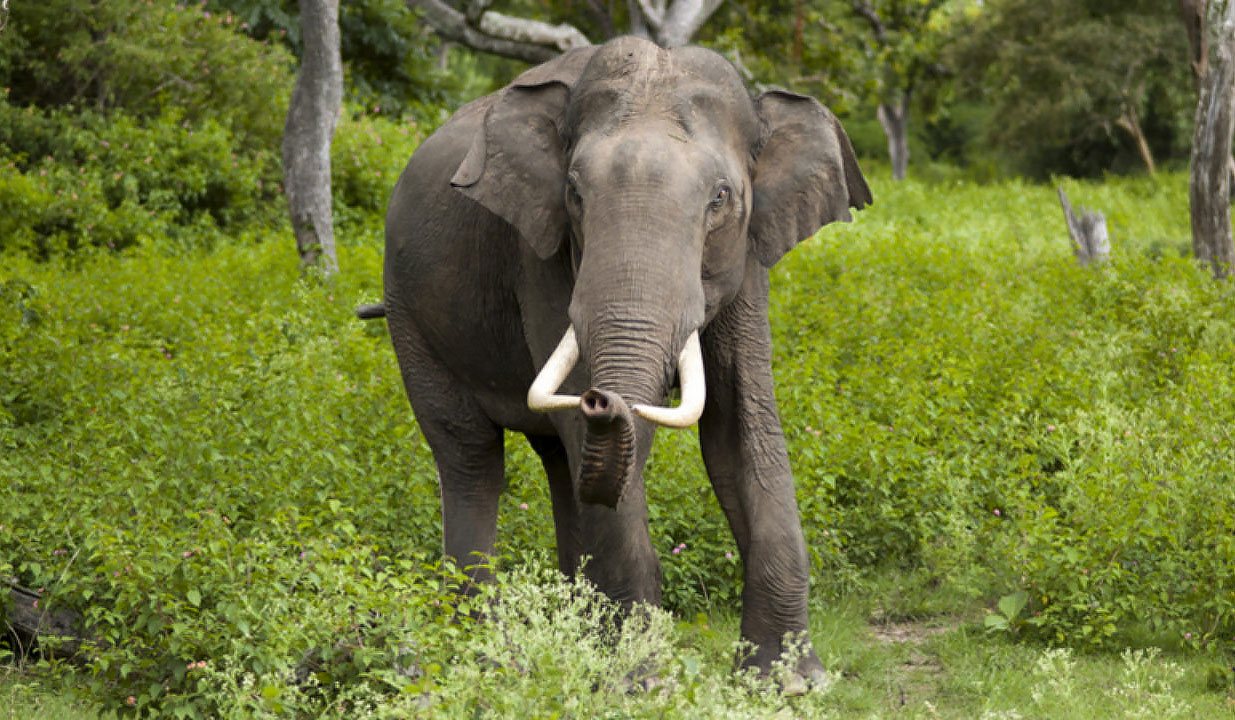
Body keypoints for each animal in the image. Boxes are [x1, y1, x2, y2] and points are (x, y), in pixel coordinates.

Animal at [370, 35, 874, 686]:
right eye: (574, 193)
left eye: (721, 197)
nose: (600, 397)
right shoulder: (542, 254)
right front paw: (641, 682)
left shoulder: (748, 258)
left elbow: (741, 428)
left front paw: (789, 683)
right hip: (409, 313)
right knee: (472, 457)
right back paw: (485, 653)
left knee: (559, 462)